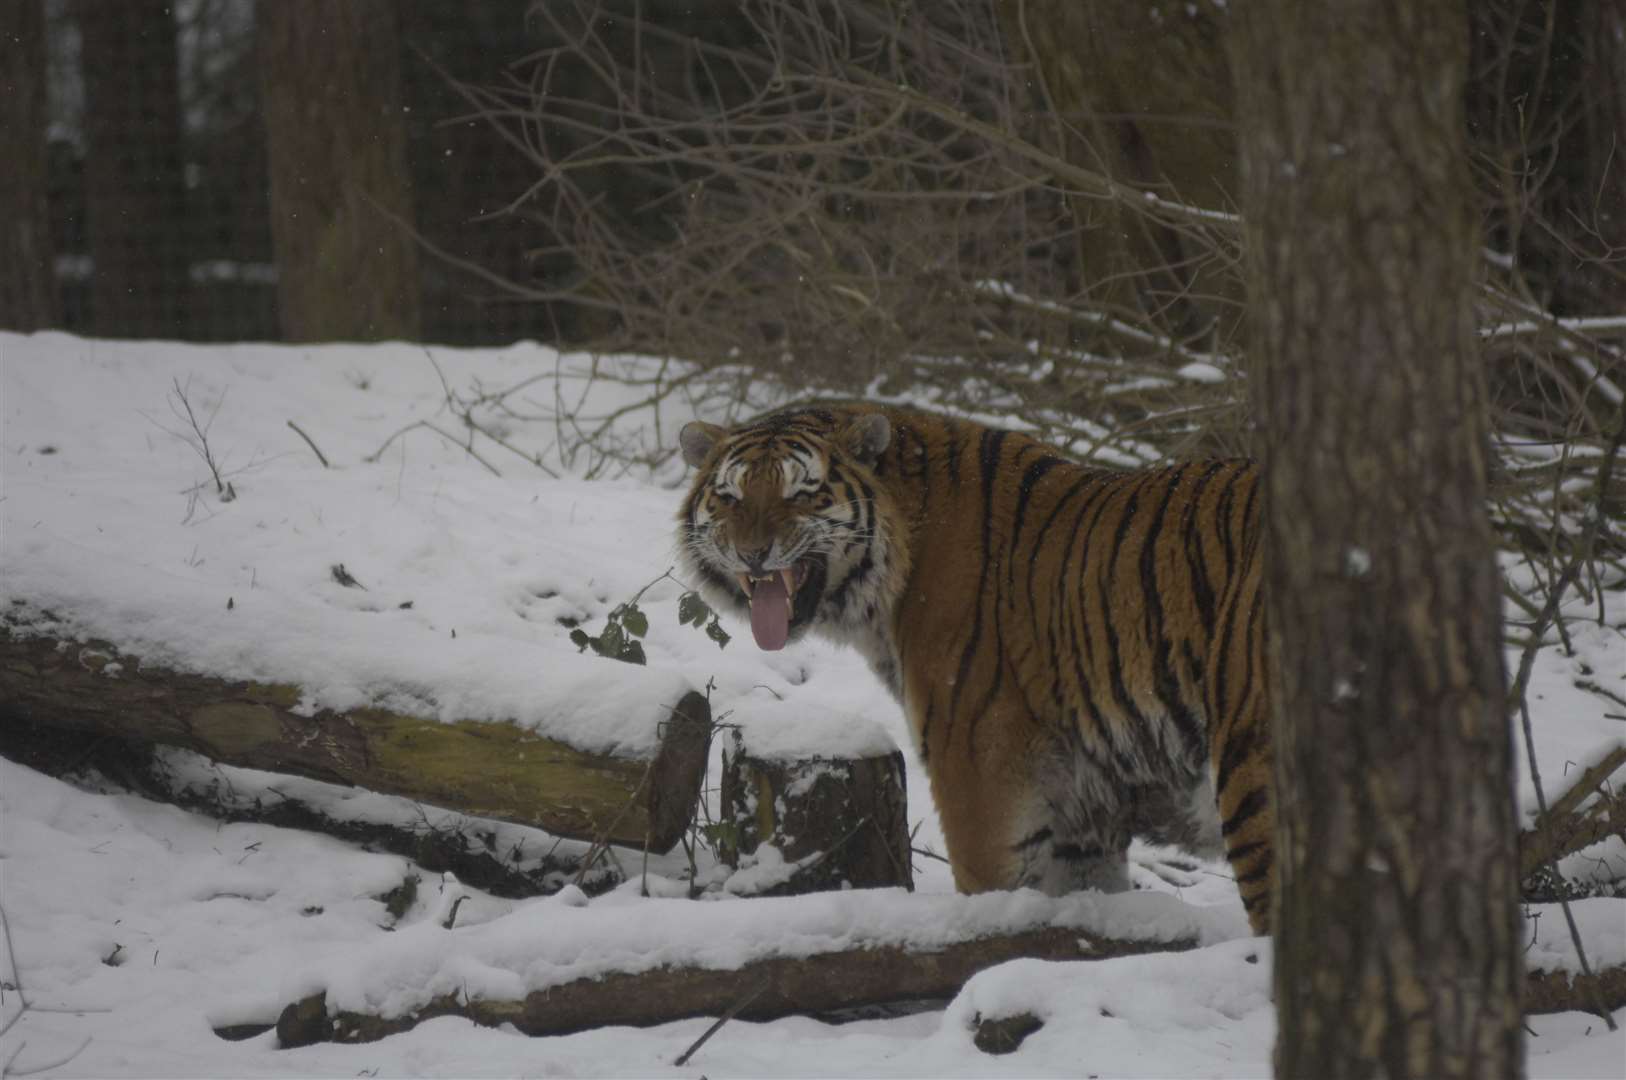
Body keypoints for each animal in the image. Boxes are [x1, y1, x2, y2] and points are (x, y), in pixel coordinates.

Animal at [673, 400, 1268, 930]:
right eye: (729, 496)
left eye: (802, 493)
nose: (753, 552)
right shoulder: (1081, 824)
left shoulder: (982, 784)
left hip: (1251, 777)